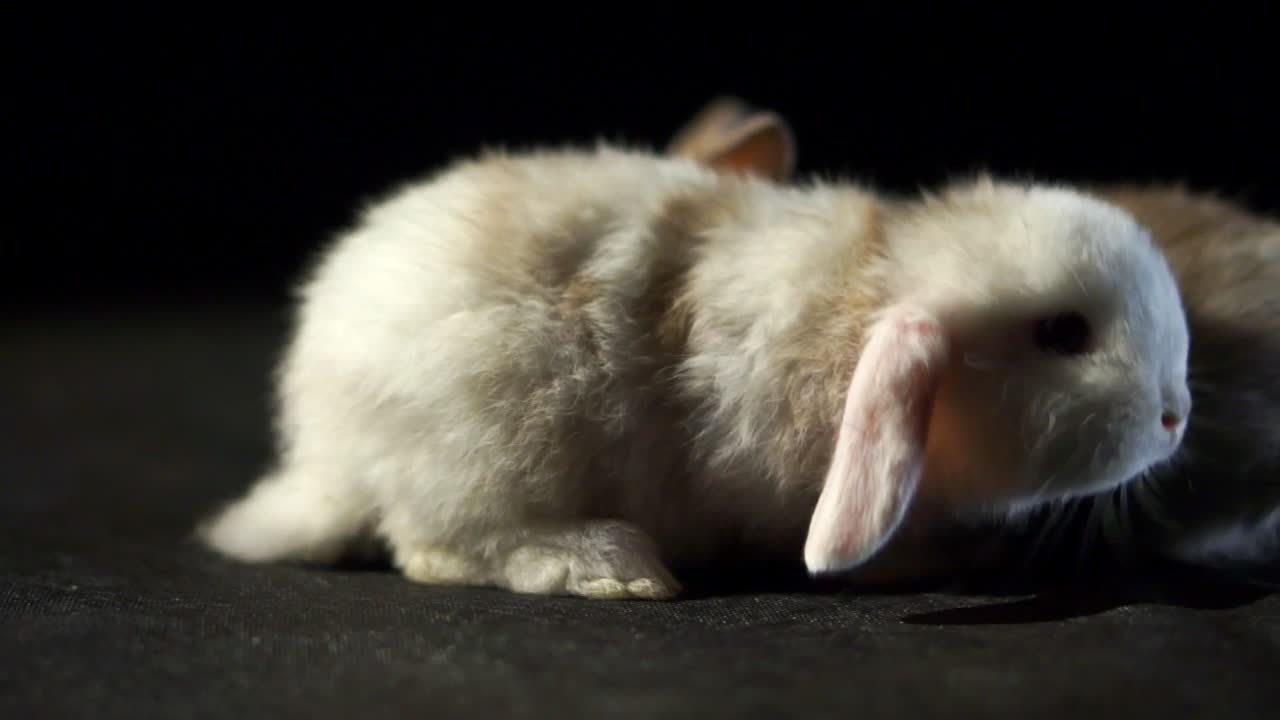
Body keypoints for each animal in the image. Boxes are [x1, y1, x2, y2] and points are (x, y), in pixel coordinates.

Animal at [197, 135, 1187, 599]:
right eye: (1062, 332)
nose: (1175, 413)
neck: (862, 302)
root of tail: (328, 453)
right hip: (492, 445)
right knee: (437, 546)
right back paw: (608, 565)